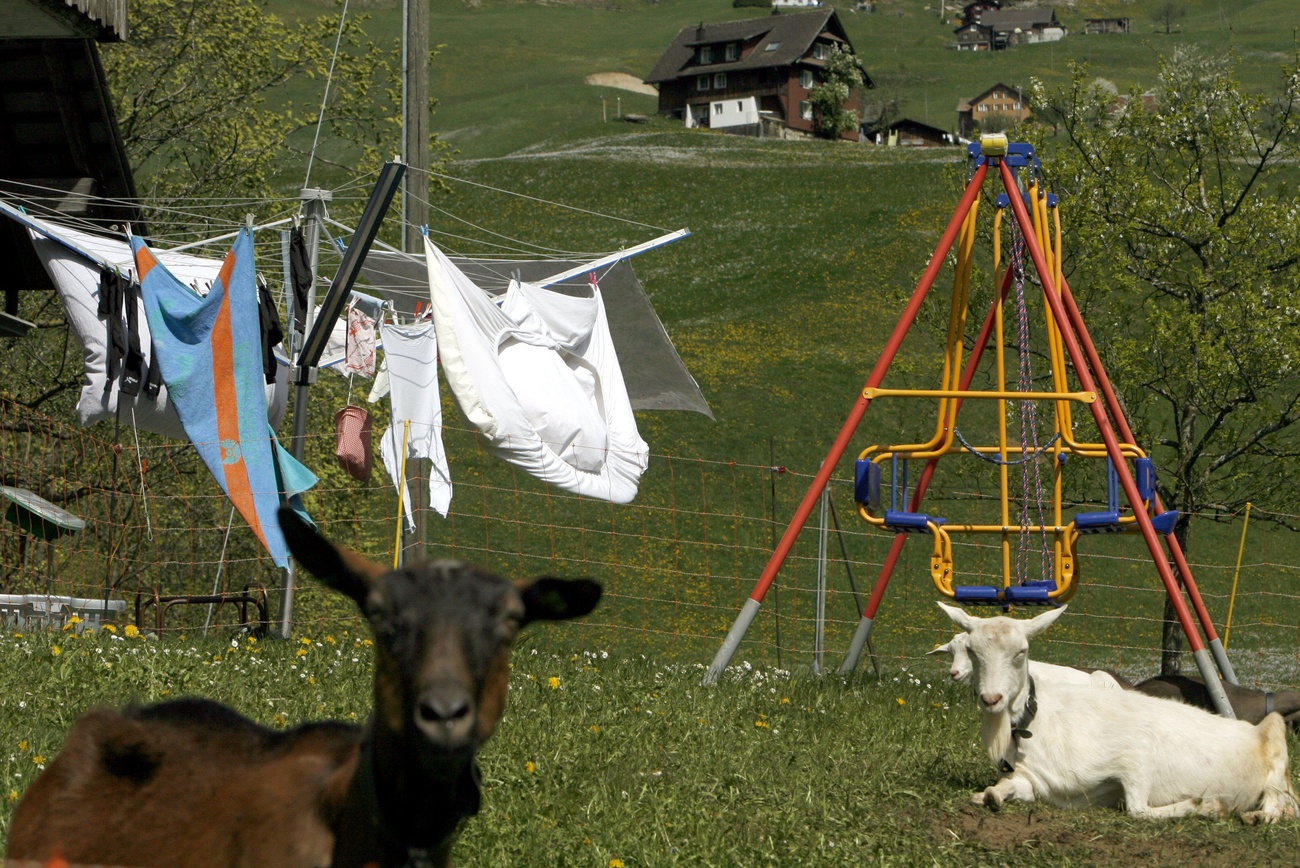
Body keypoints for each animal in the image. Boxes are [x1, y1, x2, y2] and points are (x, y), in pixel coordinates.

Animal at [941, 600, 1294, 826]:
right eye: (972, 650)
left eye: (1022, 651)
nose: (991, 699)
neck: (1038, 724)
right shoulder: (1036, 781)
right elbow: (1003, 787)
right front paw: (988, 796)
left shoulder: (1136, 754)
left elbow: (1137, 809)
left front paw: (1205, 805)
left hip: (1275, 736)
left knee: (1280, 805)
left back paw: (1257, 815)